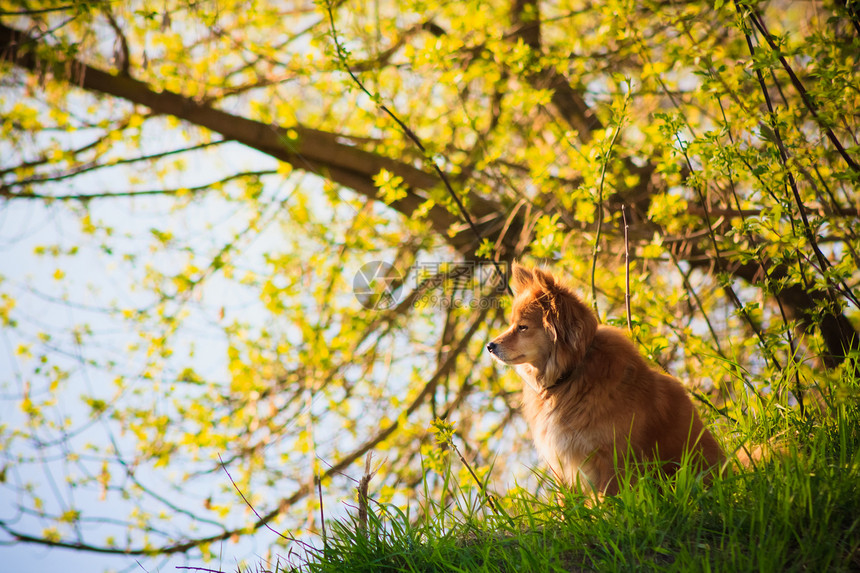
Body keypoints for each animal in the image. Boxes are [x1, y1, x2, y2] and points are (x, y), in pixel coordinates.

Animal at [488, 264, 724, 492]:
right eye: (511, 324)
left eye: (523, 327)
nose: (490, 346)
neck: (571, 374)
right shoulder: (562, 464)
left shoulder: (611, 459)